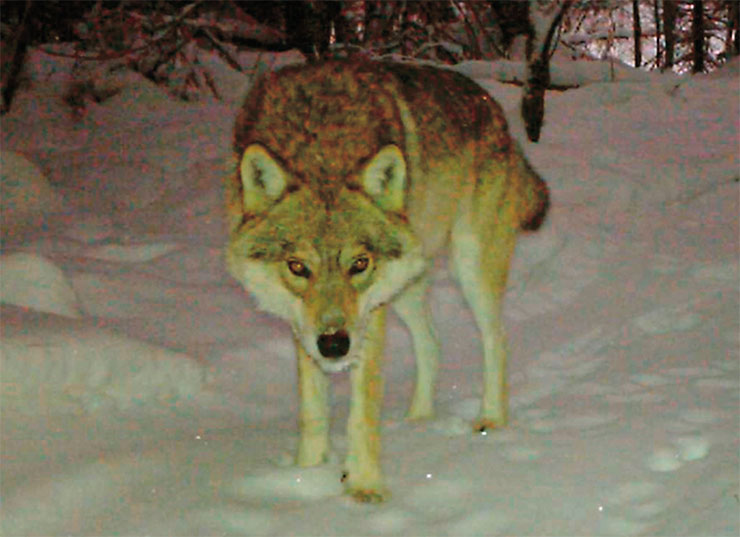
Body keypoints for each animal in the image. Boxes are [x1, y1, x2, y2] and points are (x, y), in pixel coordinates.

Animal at [225, 60, 549, 502]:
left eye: (359, 264)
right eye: (297, 267)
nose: (334, 345)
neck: (322, 148)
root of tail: (496, 111)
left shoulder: (368, 317)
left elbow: (362, 411)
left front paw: (364, 489)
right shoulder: (301, 323)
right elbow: (312, 409)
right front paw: (304, 477)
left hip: (468, 268)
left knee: (495, 338)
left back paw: (491, 420)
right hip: (406, 287)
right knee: (431, 341)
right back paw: (418, 420)